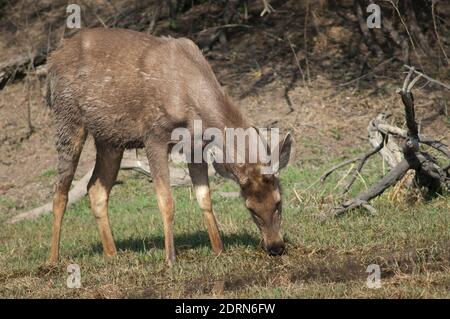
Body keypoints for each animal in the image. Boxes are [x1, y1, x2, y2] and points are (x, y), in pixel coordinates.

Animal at [46, 28, 292, 266]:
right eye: (250, 208)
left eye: (279, 201)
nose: (275, 247)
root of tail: (52, 60)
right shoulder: (154, 135)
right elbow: (166, 201)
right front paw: (170, 258)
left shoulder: (196, 147)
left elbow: (205, 197)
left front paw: (219, 250)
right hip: (68, 117)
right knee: (60, 191)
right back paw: (53, 260)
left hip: (109, 139)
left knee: (96, 188)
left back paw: (112, 254)